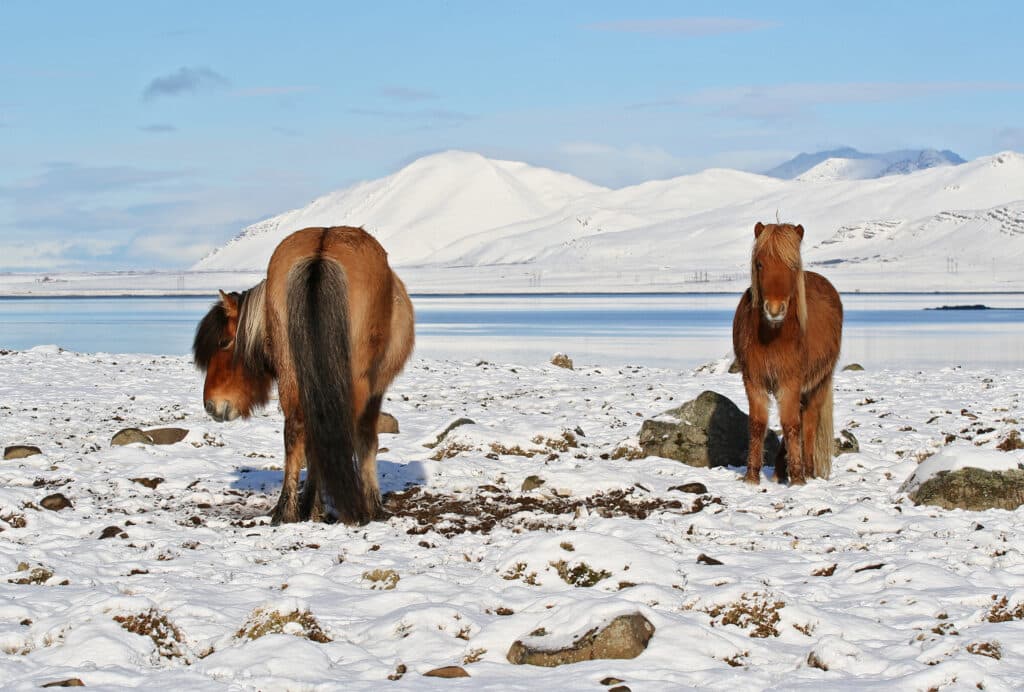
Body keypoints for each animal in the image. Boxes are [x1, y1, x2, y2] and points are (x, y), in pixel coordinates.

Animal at [192, 227, 415, 524]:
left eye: (225, 342)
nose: (211, 405)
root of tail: (319, 254)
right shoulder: (375, 391)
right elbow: (367, 440)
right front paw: (373, 505)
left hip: (293, 374)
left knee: (297, 429)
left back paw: (292, 509)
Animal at [733, 222, 843, 487]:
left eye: (793, 266)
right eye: (760, 264)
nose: (774, 310)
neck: (773, 336)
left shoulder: (790, 381)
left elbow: (792, 425)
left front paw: (798, 479)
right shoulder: (753, 380)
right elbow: (757, 424)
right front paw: (752, 477)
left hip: (818, 383)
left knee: (809, 420)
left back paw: (808, 470)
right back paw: (780, 471)